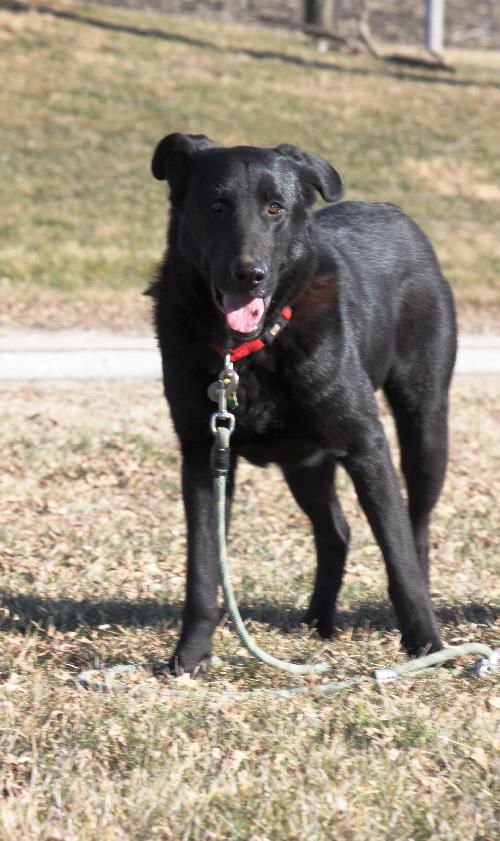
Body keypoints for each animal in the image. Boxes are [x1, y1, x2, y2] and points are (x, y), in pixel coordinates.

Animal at [149, 131, 458, 672]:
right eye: (215, 206)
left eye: (275, 207)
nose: (248, 274)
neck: (247, 351)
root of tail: (397, 213)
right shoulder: (204, 455)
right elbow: (204, 571)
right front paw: (190, 657)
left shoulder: (367, 446)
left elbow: (398, 557)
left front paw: (427, 647)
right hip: (305, 463)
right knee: (336, 533)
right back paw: (318, 622)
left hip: (424, 428)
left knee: (416, 530)